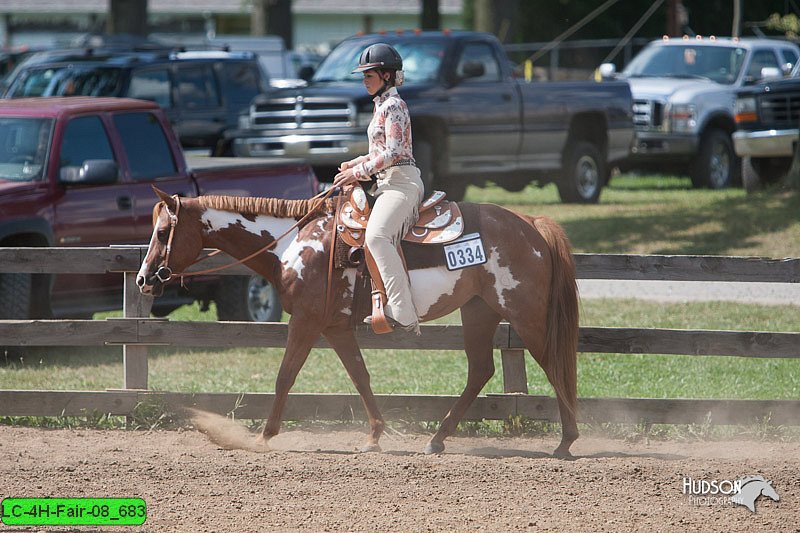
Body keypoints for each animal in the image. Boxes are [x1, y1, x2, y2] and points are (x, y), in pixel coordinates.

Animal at [134, 186, 580, 454]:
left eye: (162, 232)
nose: (143, 279)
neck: (293, 244)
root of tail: (532, 224)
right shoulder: (334, 327)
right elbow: (360, 376)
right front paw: (374, 435)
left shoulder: (306, 322)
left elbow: (285, 375)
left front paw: (263, 436)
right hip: (478, 311)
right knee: (481, 371)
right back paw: (437, 439)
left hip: (524, 313)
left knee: (554, 364)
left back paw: (567, 441)